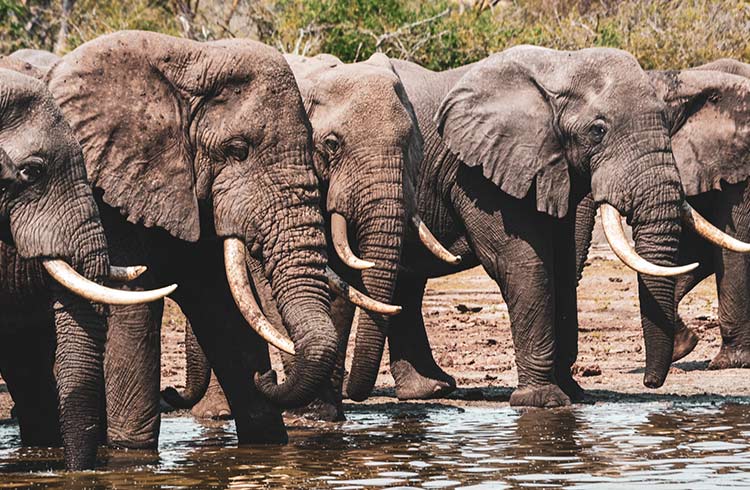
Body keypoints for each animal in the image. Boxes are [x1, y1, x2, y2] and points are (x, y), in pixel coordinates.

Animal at [164, 52, 458, 422]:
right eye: (332, 145)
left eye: (409, 146)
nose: (354, 392)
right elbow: (271, 285)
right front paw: (307, 416)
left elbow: (343, 286)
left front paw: (327, 416)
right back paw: (219, 411)